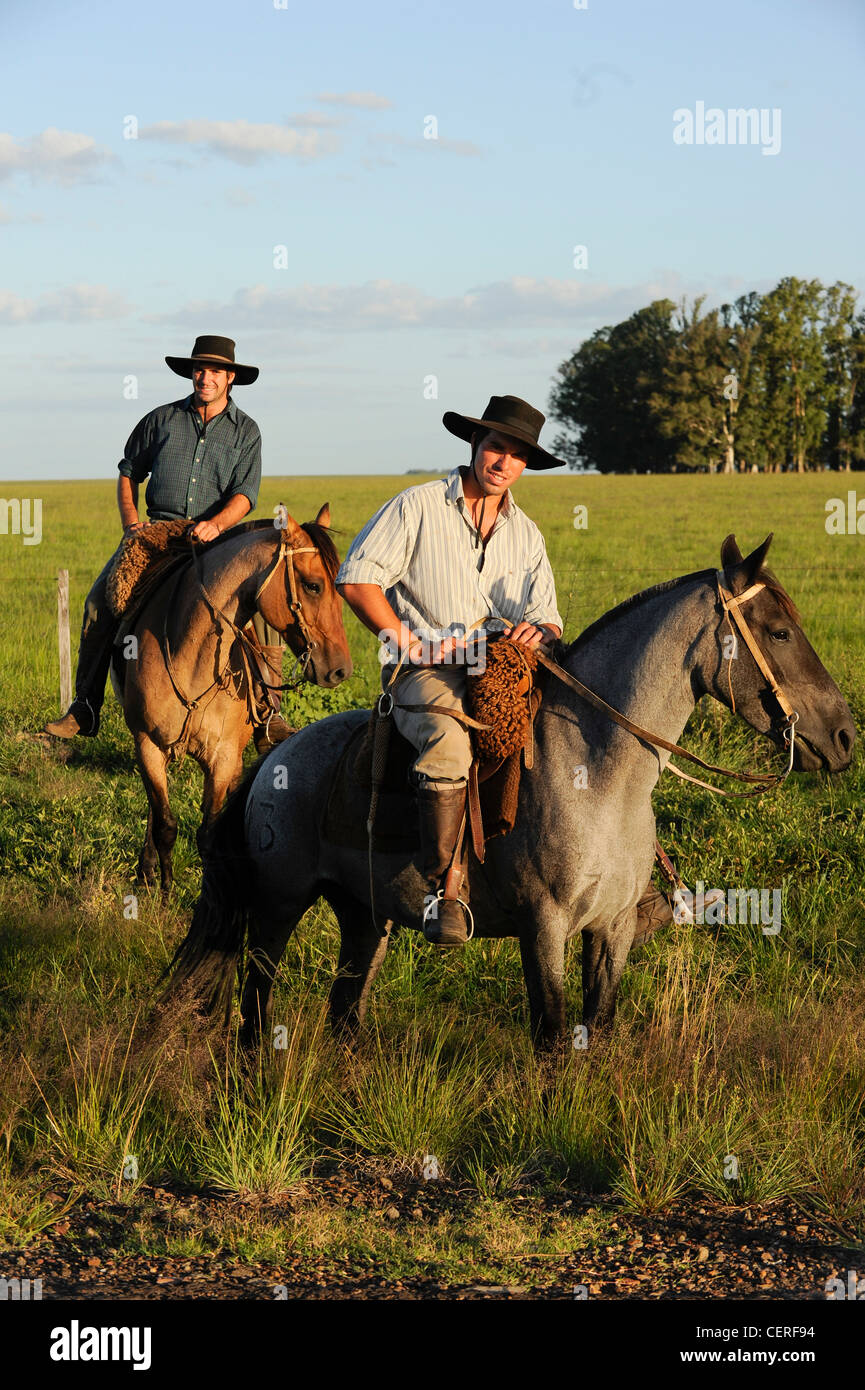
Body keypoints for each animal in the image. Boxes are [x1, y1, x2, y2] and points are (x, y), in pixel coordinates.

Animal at [112, 506, 352, 895]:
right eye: (313, 585)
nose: (340, 669)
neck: (190, 658)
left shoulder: (223, 759)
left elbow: (208, 835)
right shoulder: (148, 745)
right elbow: (164, 824)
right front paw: (164, 892)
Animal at [165, 534, 855, 1050]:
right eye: (780, 632)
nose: (845, 736)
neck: (598, 773)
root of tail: (276, 758)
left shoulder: (610, 931)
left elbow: (595, 1029)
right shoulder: (542, 926)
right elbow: (552, 1036)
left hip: (364, 917)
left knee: (345, 1013)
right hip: (277, 908)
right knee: (255, 1009)